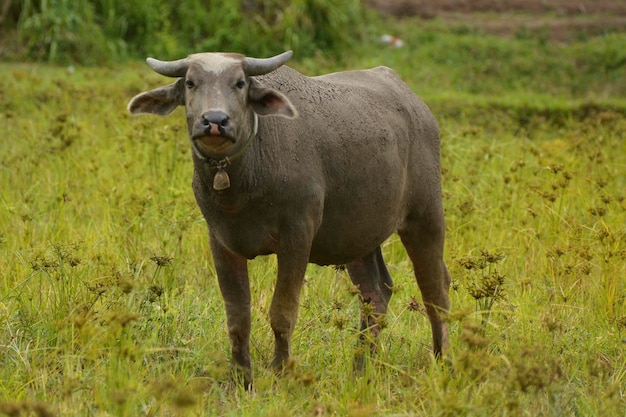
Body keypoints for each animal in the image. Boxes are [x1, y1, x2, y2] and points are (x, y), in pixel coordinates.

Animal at [127, 50, 448, 386]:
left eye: (239, 83)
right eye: (191, 83)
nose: (214, 121)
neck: (246, 178)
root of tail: (419, 109)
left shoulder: (297, 237)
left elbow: (282, 313)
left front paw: (279, 371)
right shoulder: (221, 242)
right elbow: (237, 318)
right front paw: (241, 378)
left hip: (425, 215)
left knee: (435, 289)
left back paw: (442, 359)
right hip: (358, 235)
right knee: (376, 291)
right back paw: (360, 367)